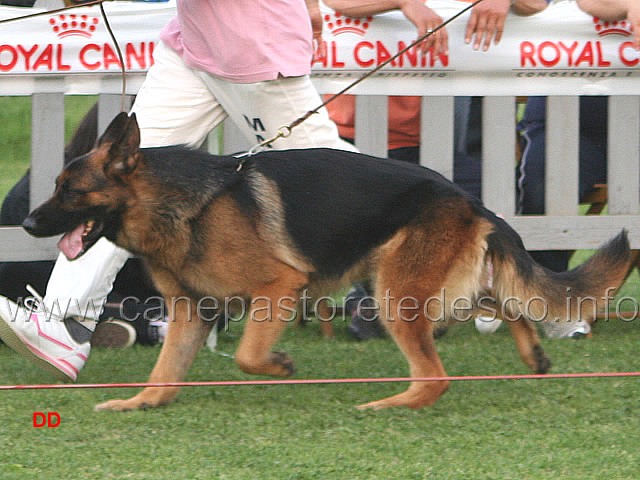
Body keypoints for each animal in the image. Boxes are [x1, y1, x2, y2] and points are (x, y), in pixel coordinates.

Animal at [22, 114, 628, 410]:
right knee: (504, 302)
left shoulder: (278, 287)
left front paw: (279, 366)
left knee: (436, 375)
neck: (180, 203)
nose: (26, 224)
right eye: (55, 186)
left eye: (71, 191)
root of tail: (469, 199)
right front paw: (140, 404)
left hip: (396, 295)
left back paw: (390, 404)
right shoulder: (192, 312)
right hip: (431, 290)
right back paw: (533, 354)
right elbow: (164, 373)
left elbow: (246, 354)